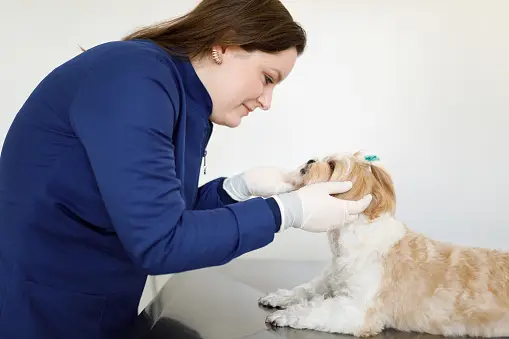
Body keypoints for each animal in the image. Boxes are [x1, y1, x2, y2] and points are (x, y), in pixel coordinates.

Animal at [258, 153, 508, 338]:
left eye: (331, 164)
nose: (309, 161)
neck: (356, 238)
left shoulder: (356, 310)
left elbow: (317, 309)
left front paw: (285, 315)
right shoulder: (331, 279)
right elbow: (306, 289)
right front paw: (279, 298)